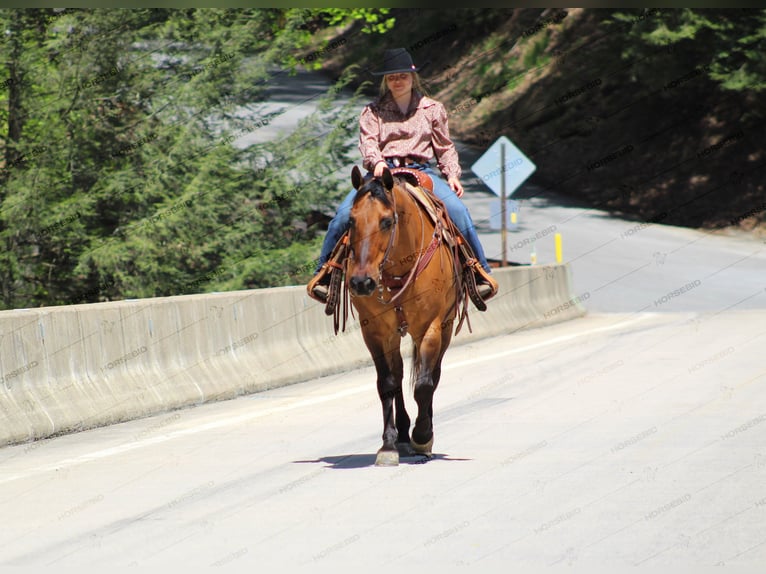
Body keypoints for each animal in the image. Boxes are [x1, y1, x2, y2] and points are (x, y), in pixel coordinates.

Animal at [338, 165, 474, 468]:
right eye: (351, 221)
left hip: (445, 328)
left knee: (433, 375)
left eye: (387, 221)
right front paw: (388, 445)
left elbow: (424, 385)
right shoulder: (374, 331)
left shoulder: (431, 327)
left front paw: (422, 437)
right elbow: (388, 383)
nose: (361, 282)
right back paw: (401, 434)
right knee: (399, 375)